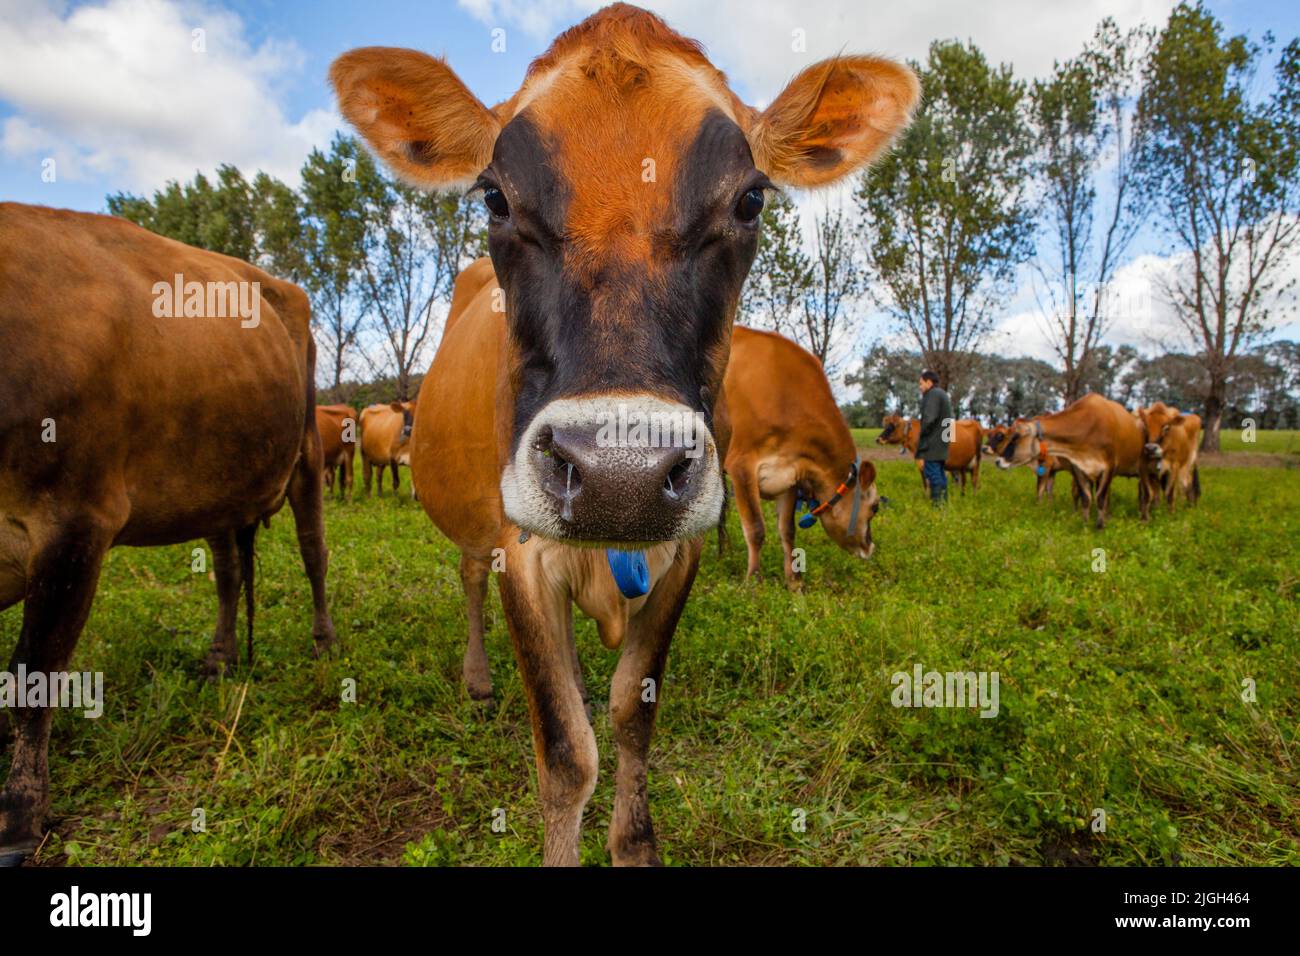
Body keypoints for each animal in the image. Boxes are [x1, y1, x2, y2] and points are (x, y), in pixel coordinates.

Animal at [0, 202, 336, 864]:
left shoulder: (75, 521)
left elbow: (33, 672)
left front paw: (19, 815)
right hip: (218, 485)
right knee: (229, 573)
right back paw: (220, 657)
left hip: (307, 451)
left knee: (314, 552)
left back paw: (323, 640)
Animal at [722, 327, 880, 588]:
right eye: (875, 507)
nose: (870, 548)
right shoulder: (741, 464)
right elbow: (755, 529)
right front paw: (754, 582)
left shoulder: (790, 472)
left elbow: (787, 531)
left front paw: (794, 583)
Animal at [994, 393, 1144, 528]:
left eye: (1015, 438)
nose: (997, 461)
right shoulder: (1077, 468)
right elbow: (1085, 498)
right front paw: (1084, 524)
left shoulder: (1109, 468)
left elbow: (1100, 497)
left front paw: (1100, 526)